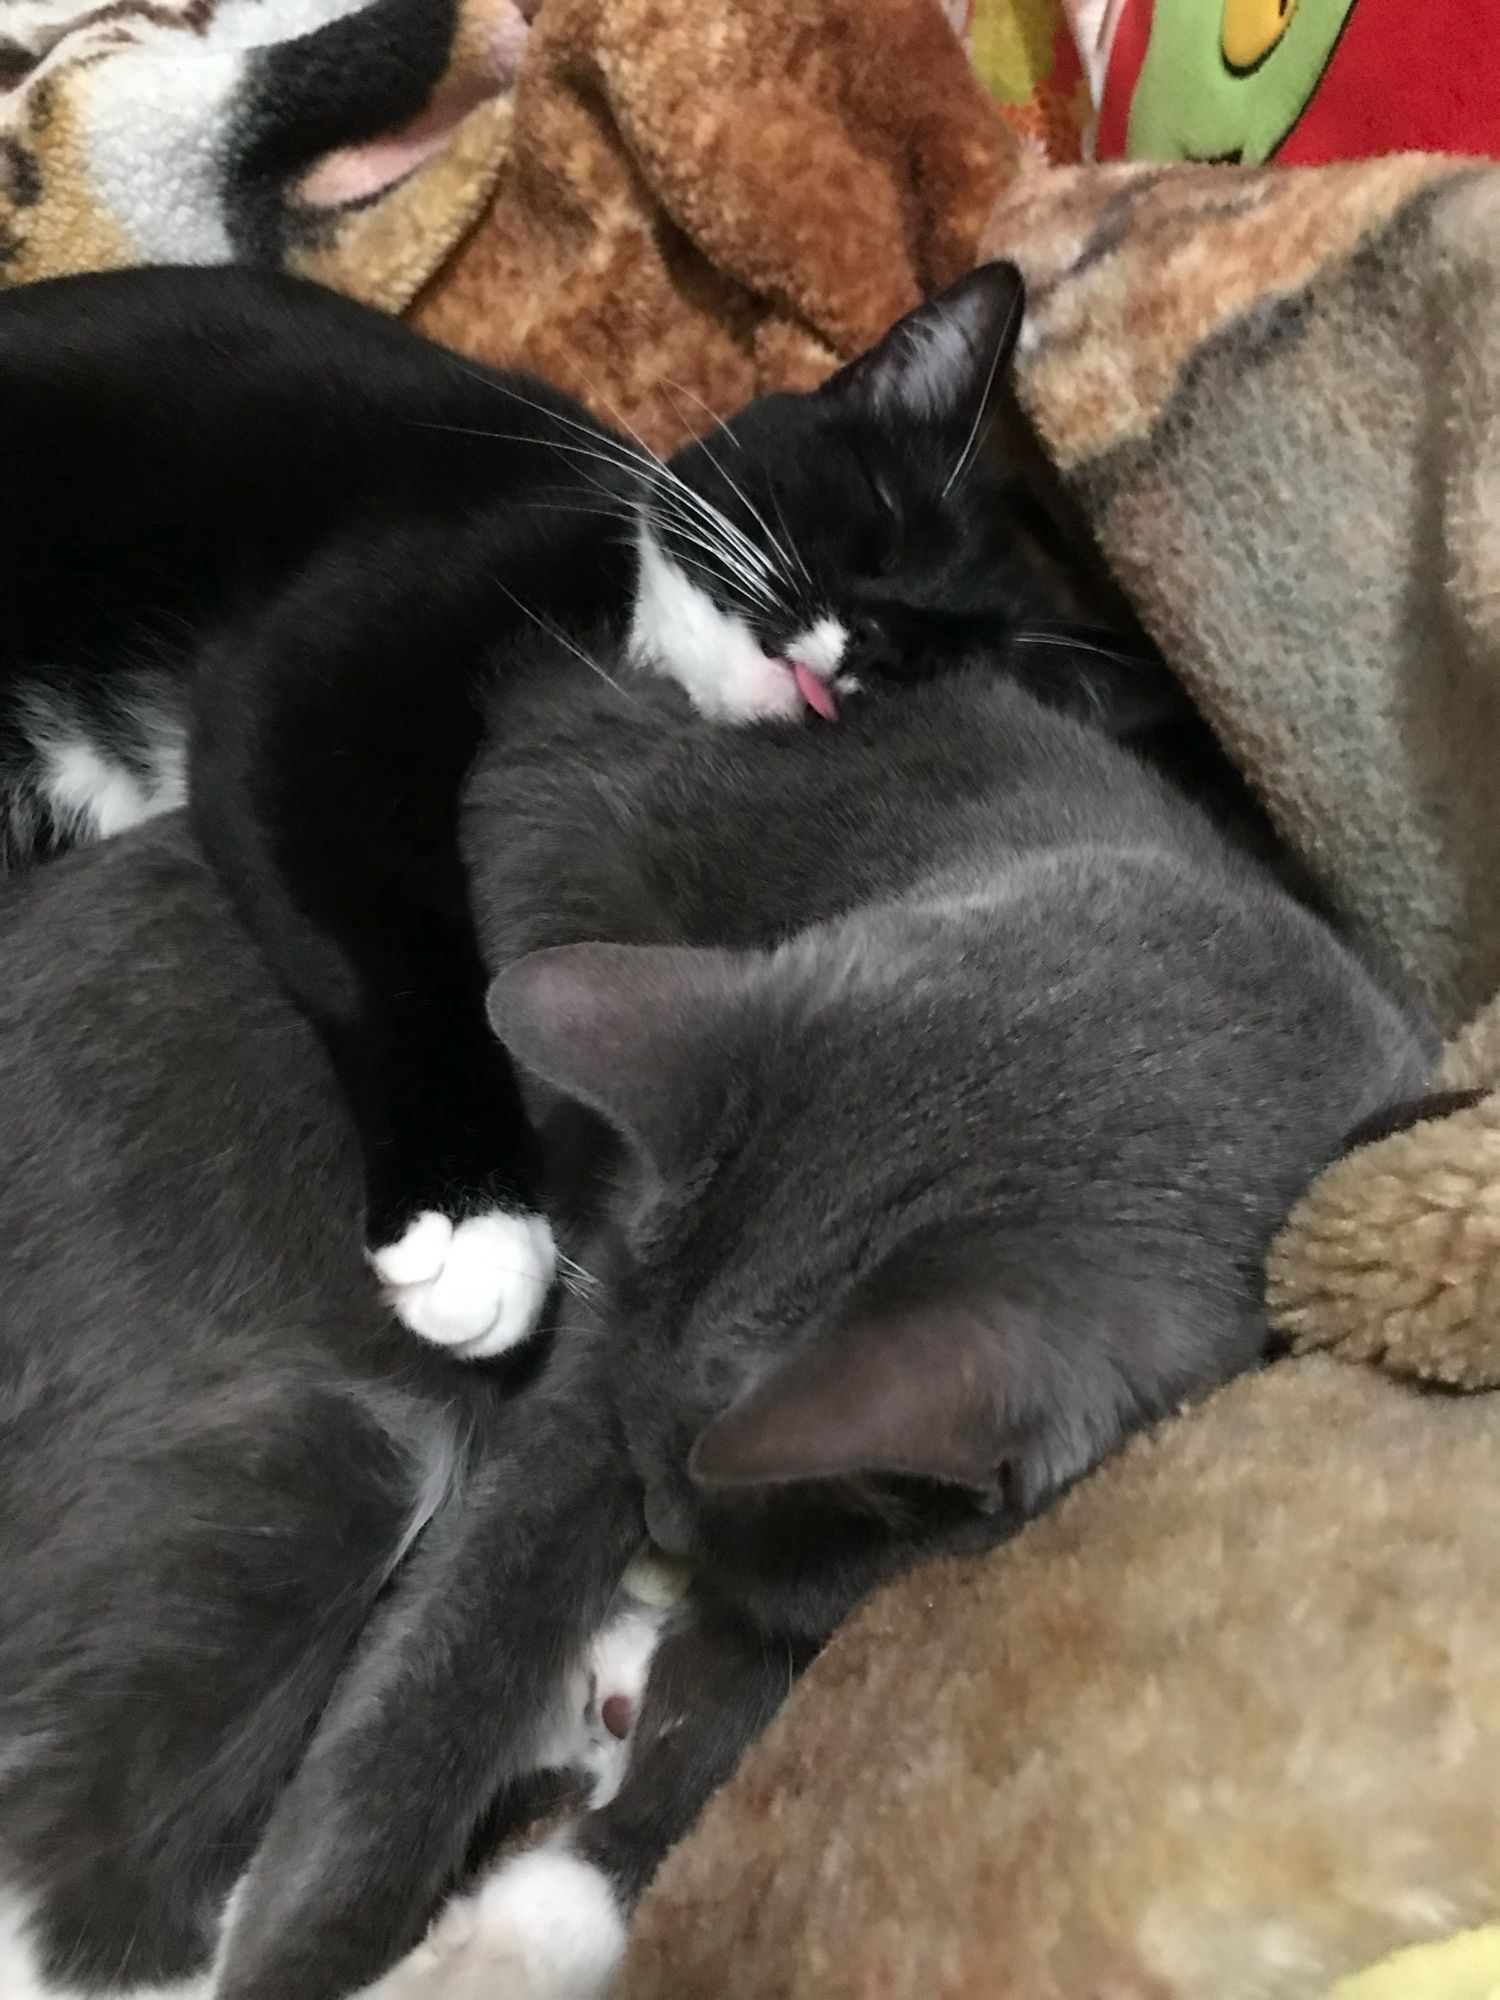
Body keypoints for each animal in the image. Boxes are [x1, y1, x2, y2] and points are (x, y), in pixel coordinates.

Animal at [0, 254, 1128, 1376]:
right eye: (884, 525)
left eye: (960, 659)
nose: (878, 647)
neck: (636, 631)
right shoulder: (337, 652)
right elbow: (378, 934)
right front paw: (474, 1224)